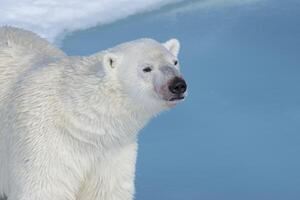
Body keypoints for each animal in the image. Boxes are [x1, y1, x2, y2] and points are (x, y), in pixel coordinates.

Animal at [0, 27, 186, 200]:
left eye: (175, 62)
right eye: (146, 68)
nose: (177, 85)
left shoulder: (112, 150)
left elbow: (107, 190)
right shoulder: (43, 143)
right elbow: (45, 190)